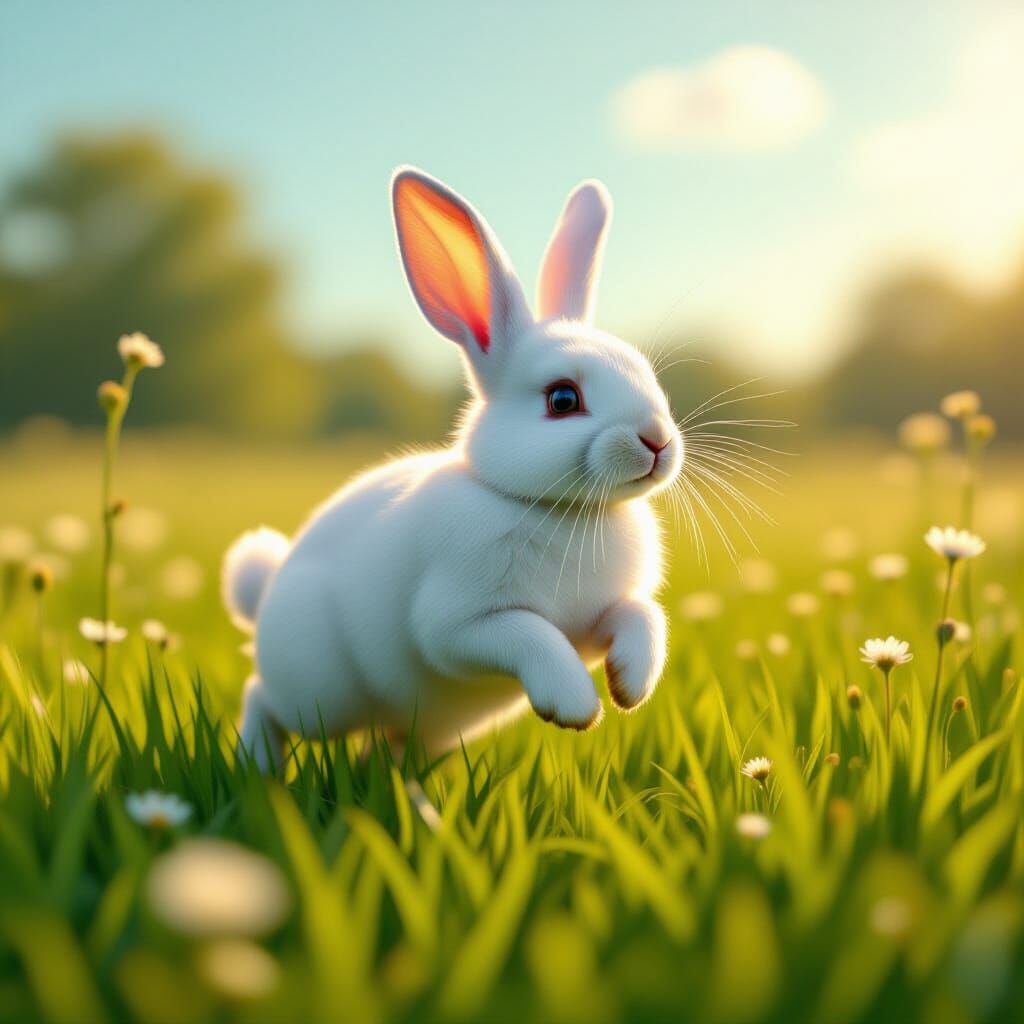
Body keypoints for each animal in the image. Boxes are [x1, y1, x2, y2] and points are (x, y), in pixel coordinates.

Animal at [222, 167, 683, 770]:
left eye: (646, 374)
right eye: (563, 399)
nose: (657, 440)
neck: (566, 512)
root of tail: (266, 594)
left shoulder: (596, 621)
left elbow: (642, 616)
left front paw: (631, 686)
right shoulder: (459, 623)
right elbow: (530, 633)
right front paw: (576, 707)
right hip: (318, 691)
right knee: (263, 698)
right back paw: (260, 767)